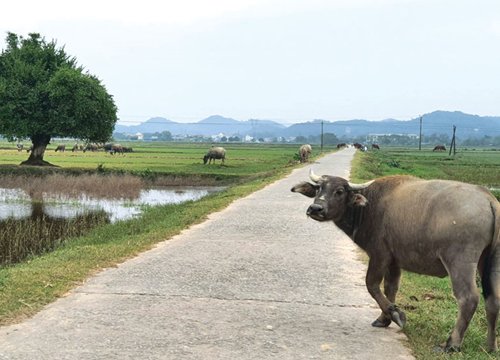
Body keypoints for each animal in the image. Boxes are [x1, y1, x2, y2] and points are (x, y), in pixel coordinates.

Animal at [292, 172, 500, 352]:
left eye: (340, 191)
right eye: (318, 188)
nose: (316, 209)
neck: (369, 207)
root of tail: (489, 198)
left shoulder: (379, 255)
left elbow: (372, 285)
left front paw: (396, 314)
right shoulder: (394, 261)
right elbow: (390, 288)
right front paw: (384, 318)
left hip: (460, 261)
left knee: (468, 298)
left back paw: (452, 344)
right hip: (490, 262)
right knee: (492, 300)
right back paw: (490, 346)